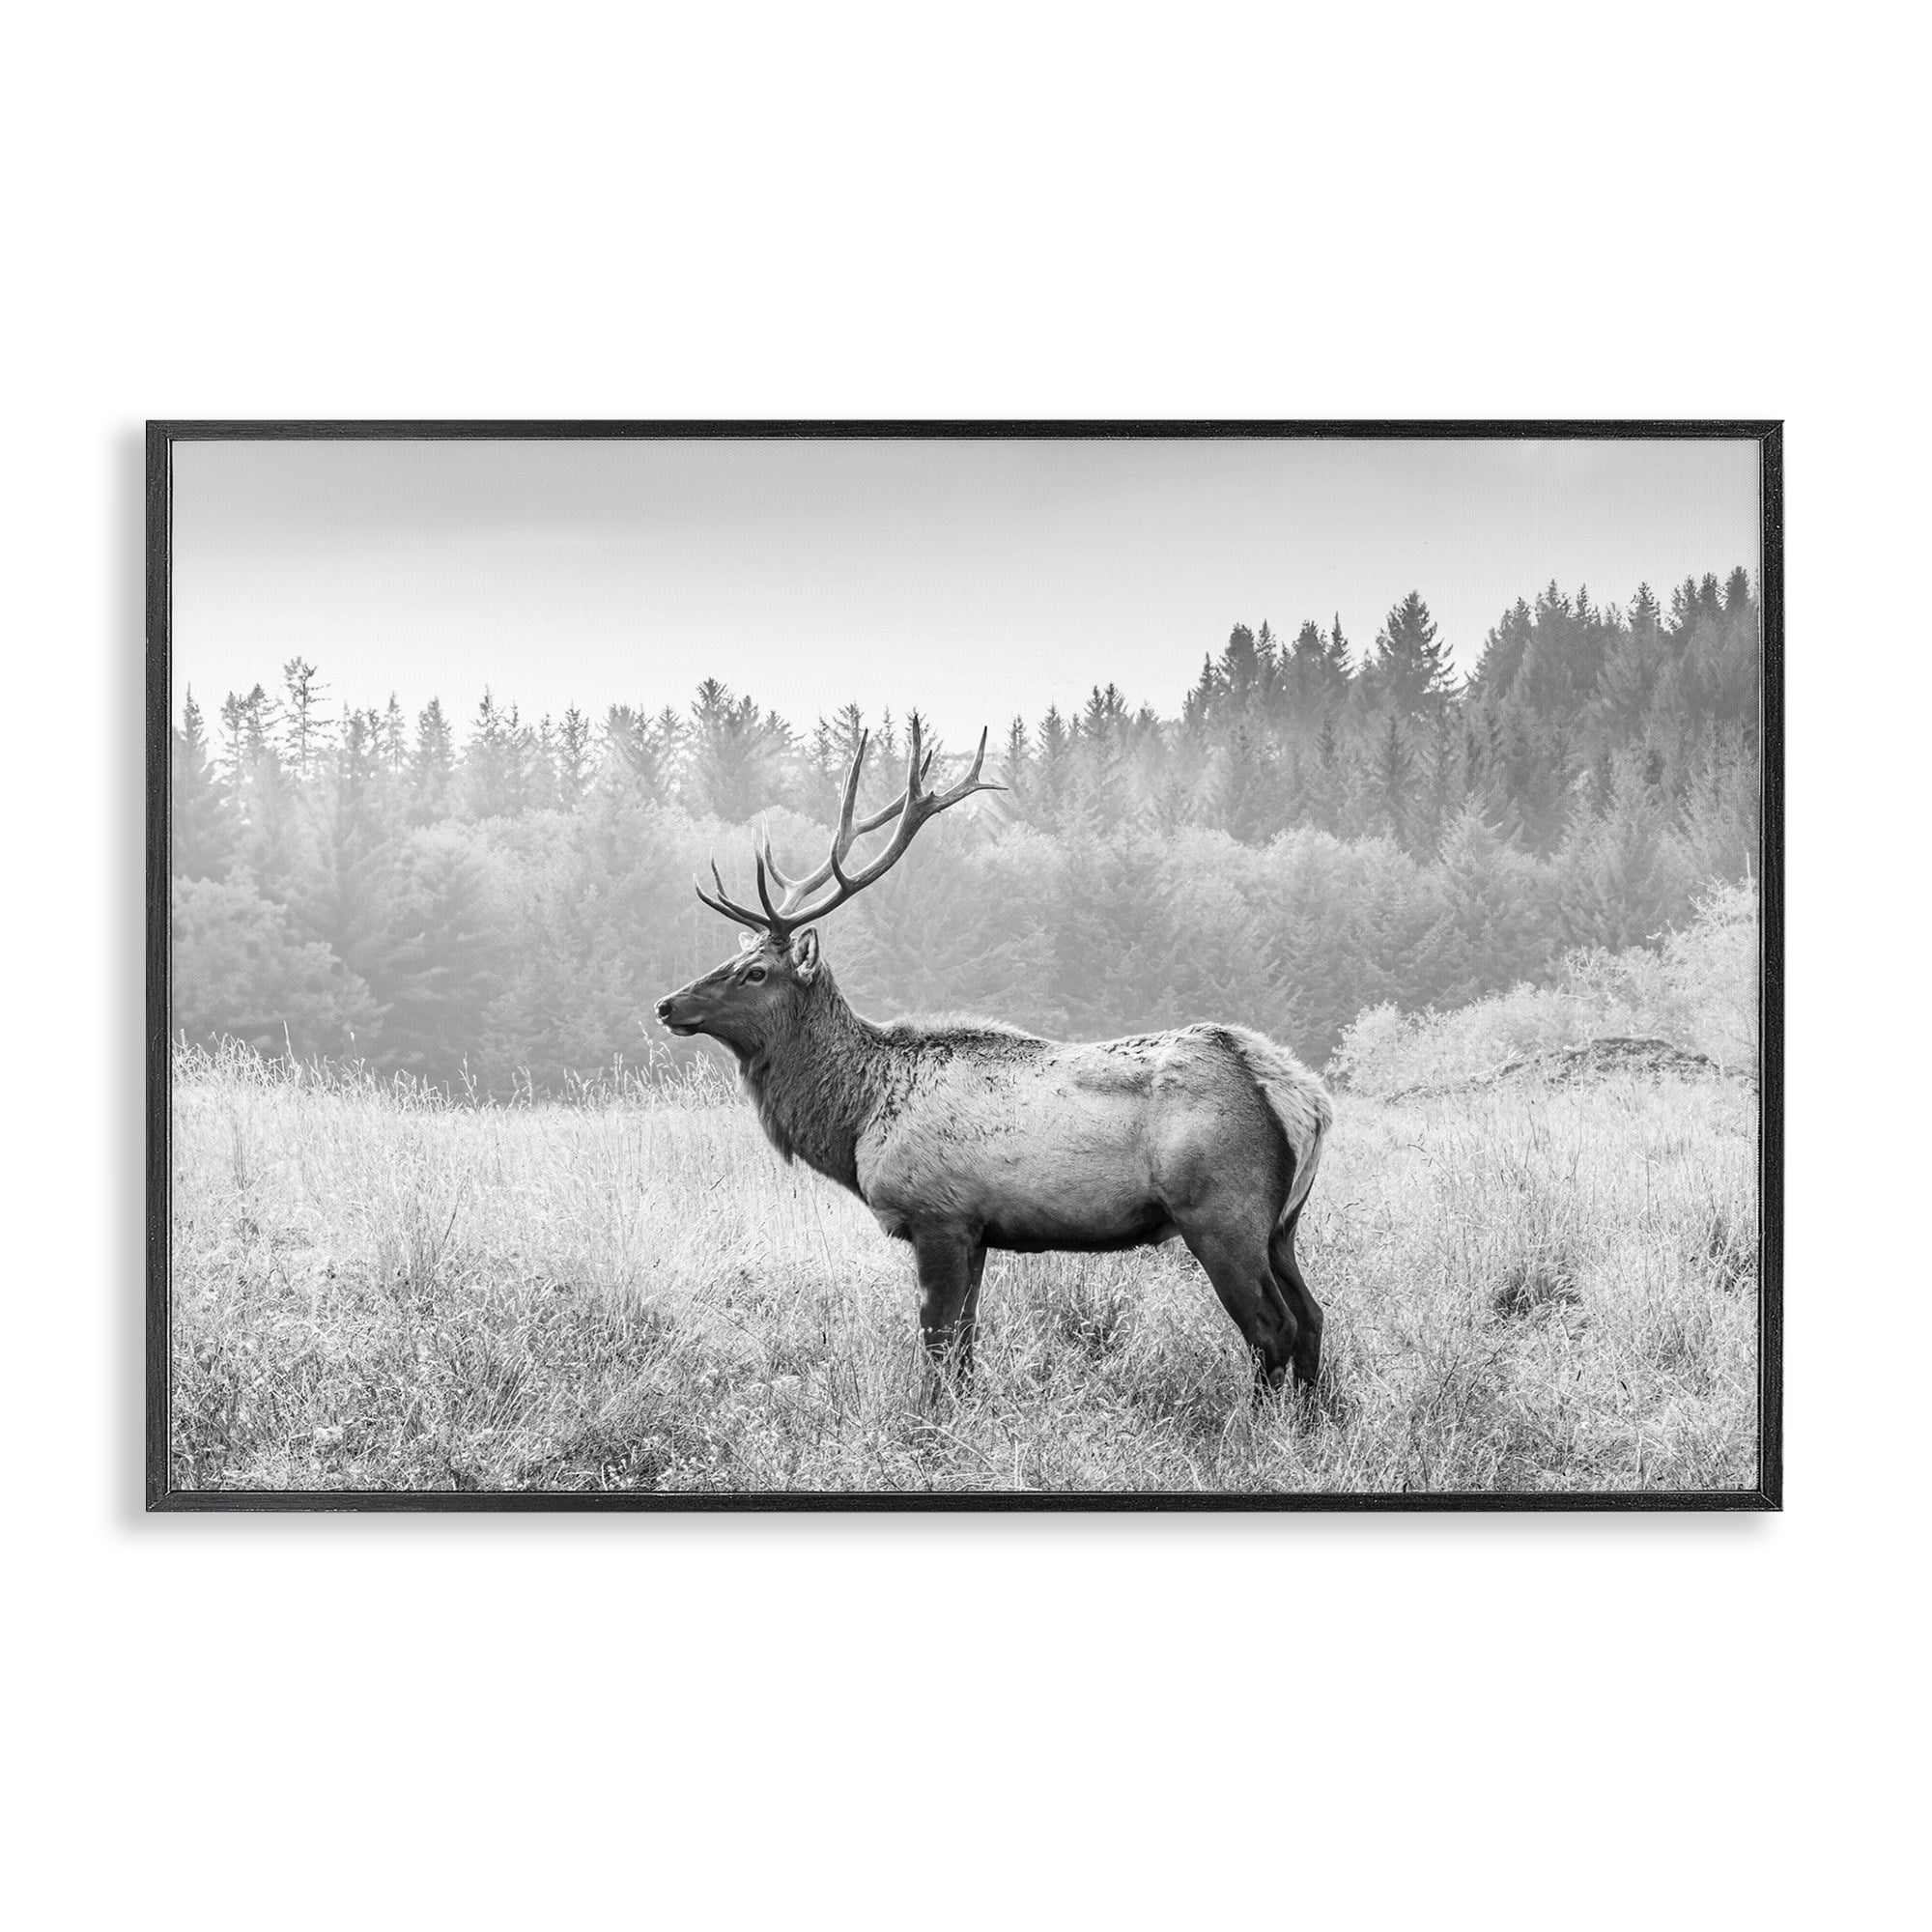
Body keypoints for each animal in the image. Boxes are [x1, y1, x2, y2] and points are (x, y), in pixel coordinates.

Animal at [654, 717, 1333, 1401]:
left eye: (755, 972)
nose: (666, 1004)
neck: (858, 1119)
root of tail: (1302, 1098)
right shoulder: (978, 1230)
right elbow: (964, 1345)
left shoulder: (939, 1215)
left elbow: (936, 1342)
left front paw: (930, 1419)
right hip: (1281, 1224)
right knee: (1312, 1316)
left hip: (1221, 1211)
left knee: (1272, 1327)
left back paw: (1259, 1422)